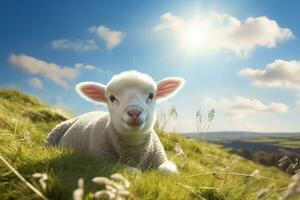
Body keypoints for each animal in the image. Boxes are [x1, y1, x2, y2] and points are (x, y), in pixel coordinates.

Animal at [45, 70, 184, 173]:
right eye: (112, 98)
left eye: (151, 95)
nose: (134, 112)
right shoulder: (101, 161)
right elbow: (133, 171)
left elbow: (168, 171)